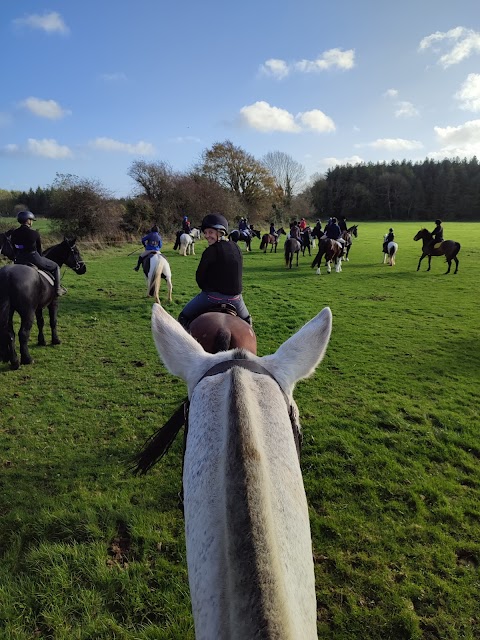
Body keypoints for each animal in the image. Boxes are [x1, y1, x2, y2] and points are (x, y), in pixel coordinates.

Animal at [0, 238, 87, 370]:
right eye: (76, 252)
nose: (83, 268)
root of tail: (7, 276)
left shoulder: (38, 307)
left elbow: (41, 322)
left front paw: (41, 341)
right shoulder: (53, 303)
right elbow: (53, 321)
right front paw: (55, 340)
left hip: (9, 311)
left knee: (9, 333)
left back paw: (11, 359)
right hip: (27, 313)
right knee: (23, 333)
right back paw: (26, 359)